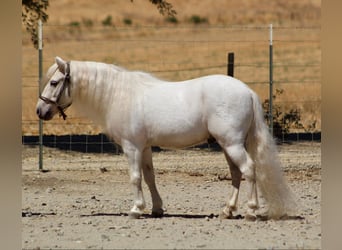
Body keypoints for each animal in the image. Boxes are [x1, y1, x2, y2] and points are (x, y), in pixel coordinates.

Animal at [36, 56, 296, 219]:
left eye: (54, 82)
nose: (40, 111)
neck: (120, 95)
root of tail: (247, 91)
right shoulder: (145, 148)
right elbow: (150, 177)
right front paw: (156, 209)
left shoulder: (132, 147)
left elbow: (135, 178)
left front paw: (136, 209)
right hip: (228, 145)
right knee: (236, 174)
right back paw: (228, 211)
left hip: (232, 144)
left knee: (249, 170)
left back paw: (251, 211)